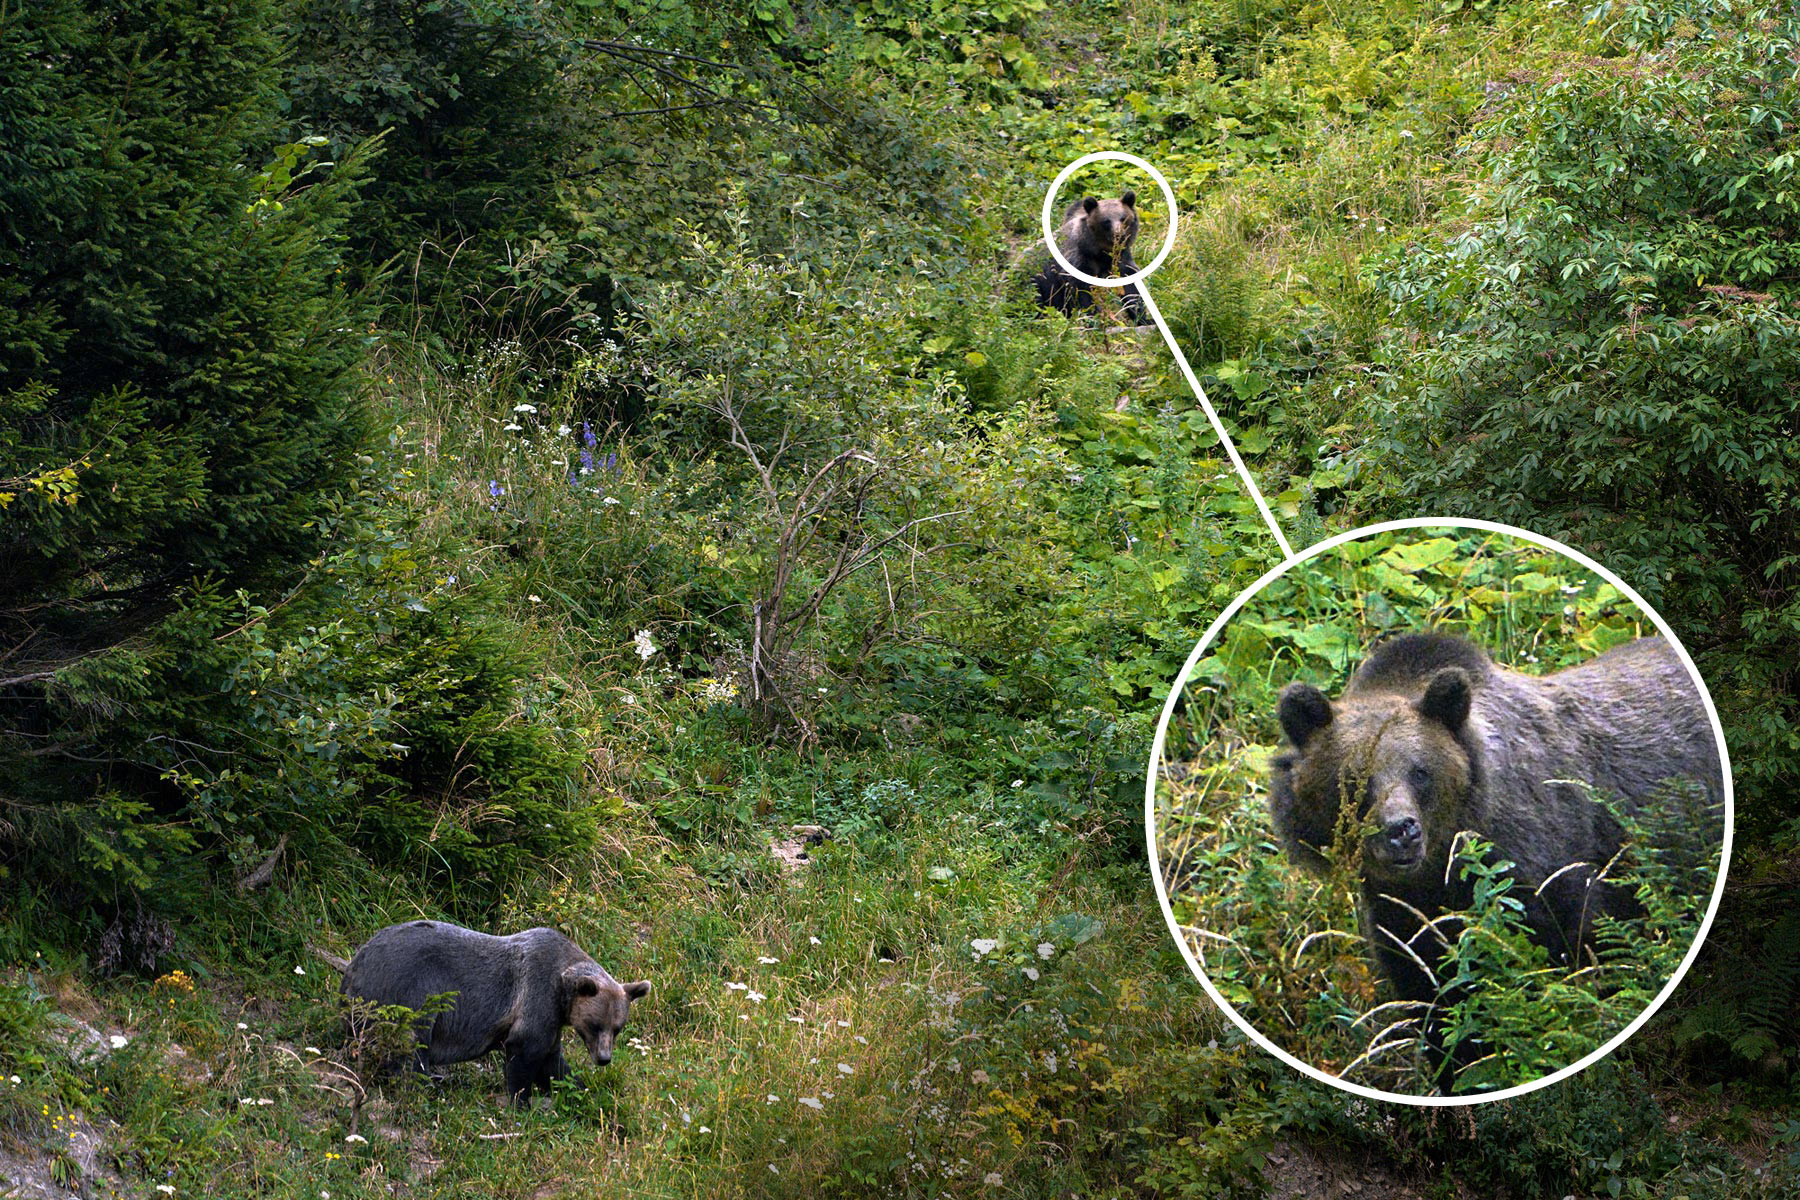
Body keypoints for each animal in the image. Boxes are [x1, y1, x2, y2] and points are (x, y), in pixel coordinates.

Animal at [340, 928, 651, 1115]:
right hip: (410, 991)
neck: (562, 989)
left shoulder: (552, 1020)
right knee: (411, 1045)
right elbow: (524, 1053)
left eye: (617, 1028)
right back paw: (422, 1085)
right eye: (594, 1025)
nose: (604, 1058)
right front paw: (521, 1102)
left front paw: (581, 1091)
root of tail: (354, 964)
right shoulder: (536, 995)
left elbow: (553, 1063)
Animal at [1029, 192, 1152, 323]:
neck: (1099, 251)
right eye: (1106, 221)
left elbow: (1130, 288)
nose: (1119, 235)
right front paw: (1093, 317)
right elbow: (1082, 293)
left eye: (1123, 218)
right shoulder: (1079, 261)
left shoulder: (1120, 259)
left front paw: (1142, 317)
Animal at [1274, 633, 1720, 1086]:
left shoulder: (1553, 873)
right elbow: (1438, 1004)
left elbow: (1583, 962)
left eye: (1420, 771)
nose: (1401, 831)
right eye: (1353, 778)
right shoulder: (1403, 919)